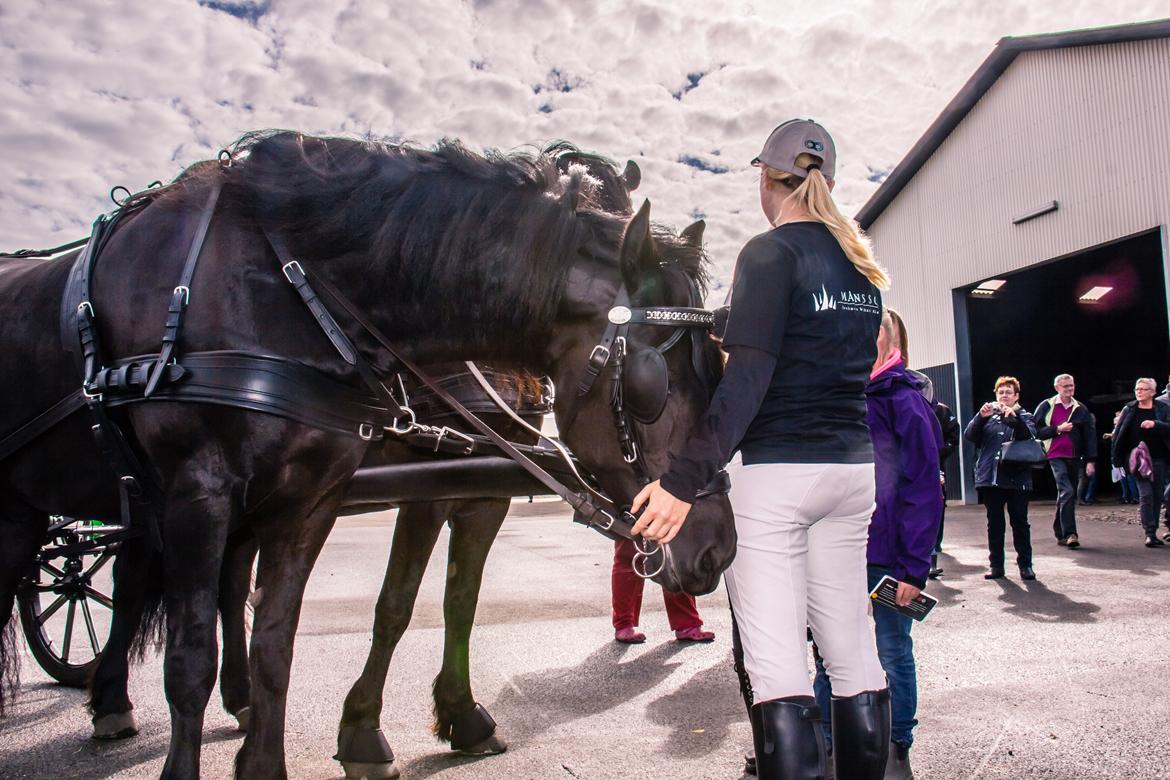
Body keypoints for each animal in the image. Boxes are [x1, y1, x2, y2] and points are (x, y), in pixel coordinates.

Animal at [0, 130, 730, 776]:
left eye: (717, 362)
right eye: (652, 382)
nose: (718, 550)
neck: (292, 286)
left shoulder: (446, 493)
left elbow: (439, 604)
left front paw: (456, 716)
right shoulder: (205, 490)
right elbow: (370, 611)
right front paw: (364, 732)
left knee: (220, 583)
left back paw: (226, 699)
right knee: (122, 583)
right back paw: (112, 700)